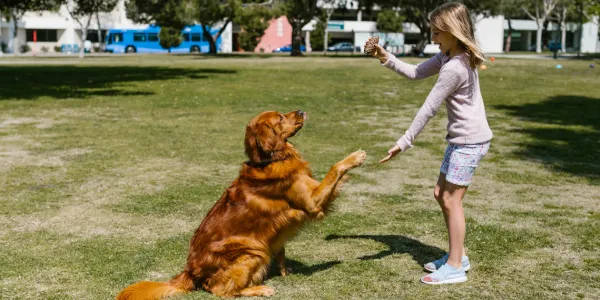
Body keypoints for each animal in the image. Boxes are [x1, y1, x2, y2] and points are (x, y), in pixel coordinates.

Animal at [116, 110, 366, 300]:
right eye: (280, 118)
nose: (302, 111)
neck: (269, 159)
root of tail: (190, 272)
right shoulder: (312, 201)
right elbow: (335, 168)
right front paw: (354, 157)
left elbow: (281, 251)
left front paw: (285, 270)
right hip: (251, 250)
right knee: (219, 289)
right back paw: (259, 288)